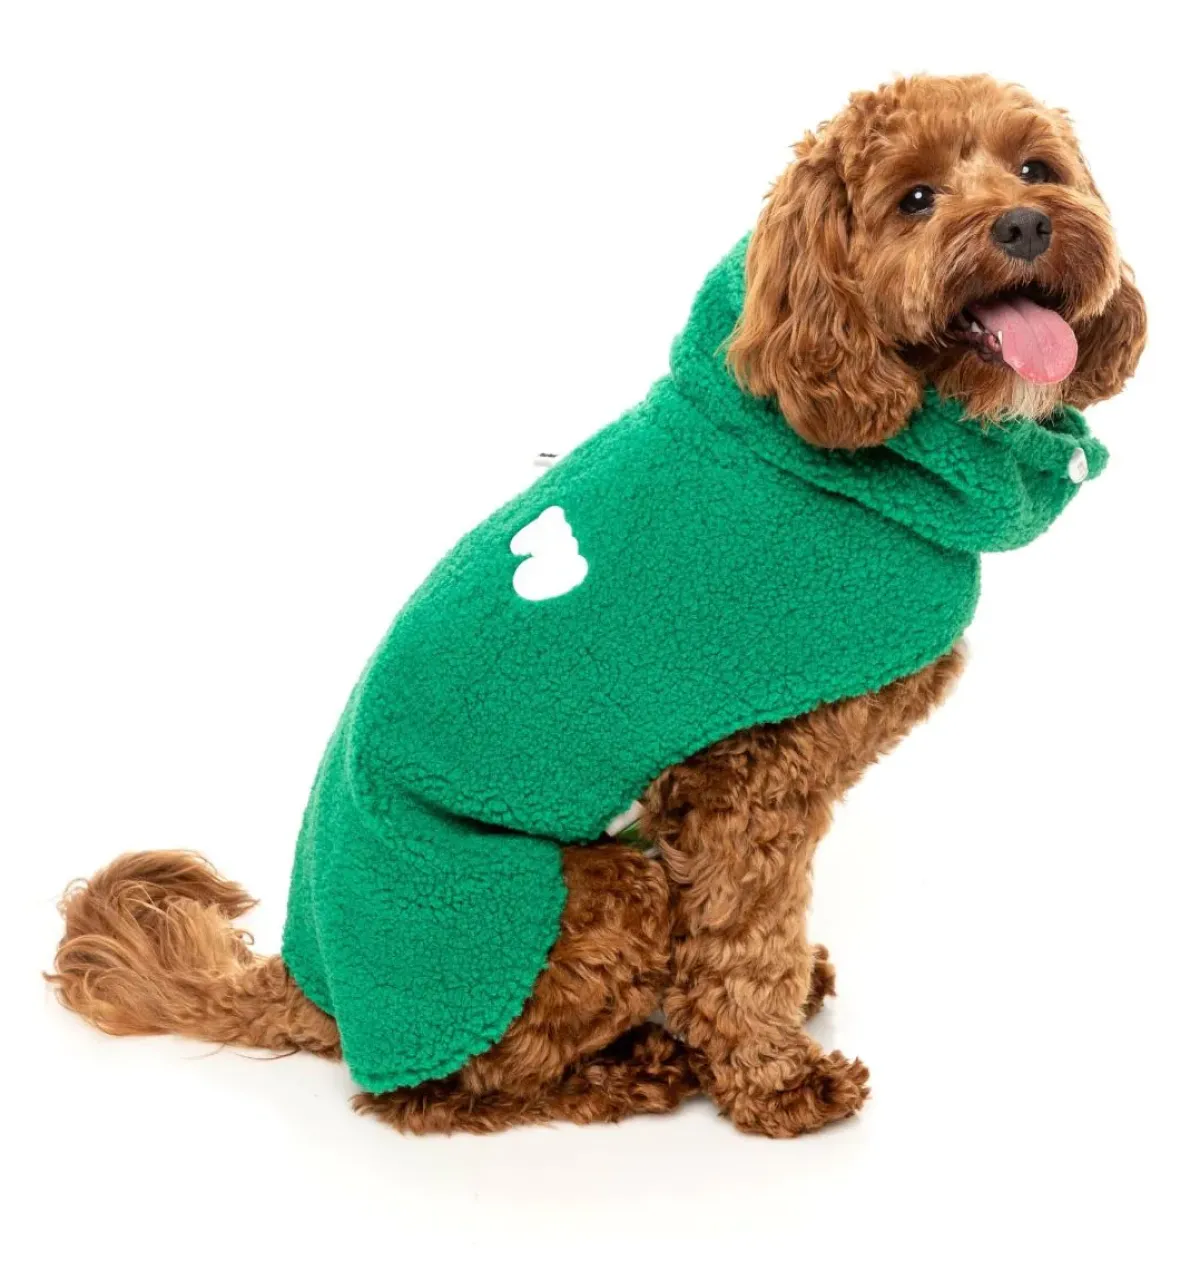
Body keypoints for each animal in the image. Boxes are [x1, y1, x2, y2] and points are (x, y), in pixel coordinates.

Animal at [49, 74, 1145, 1138]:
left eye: (1036, 169)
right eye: (915, 198)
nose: (1026, 225)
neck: (827, 431)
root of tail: (319, 990)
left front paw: (782, 1005)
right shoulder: (746, 784)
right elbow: (744, 940)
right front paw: (774, 1077)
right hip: (570, 902)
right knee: (444, 1092)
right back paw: (629, 1071)